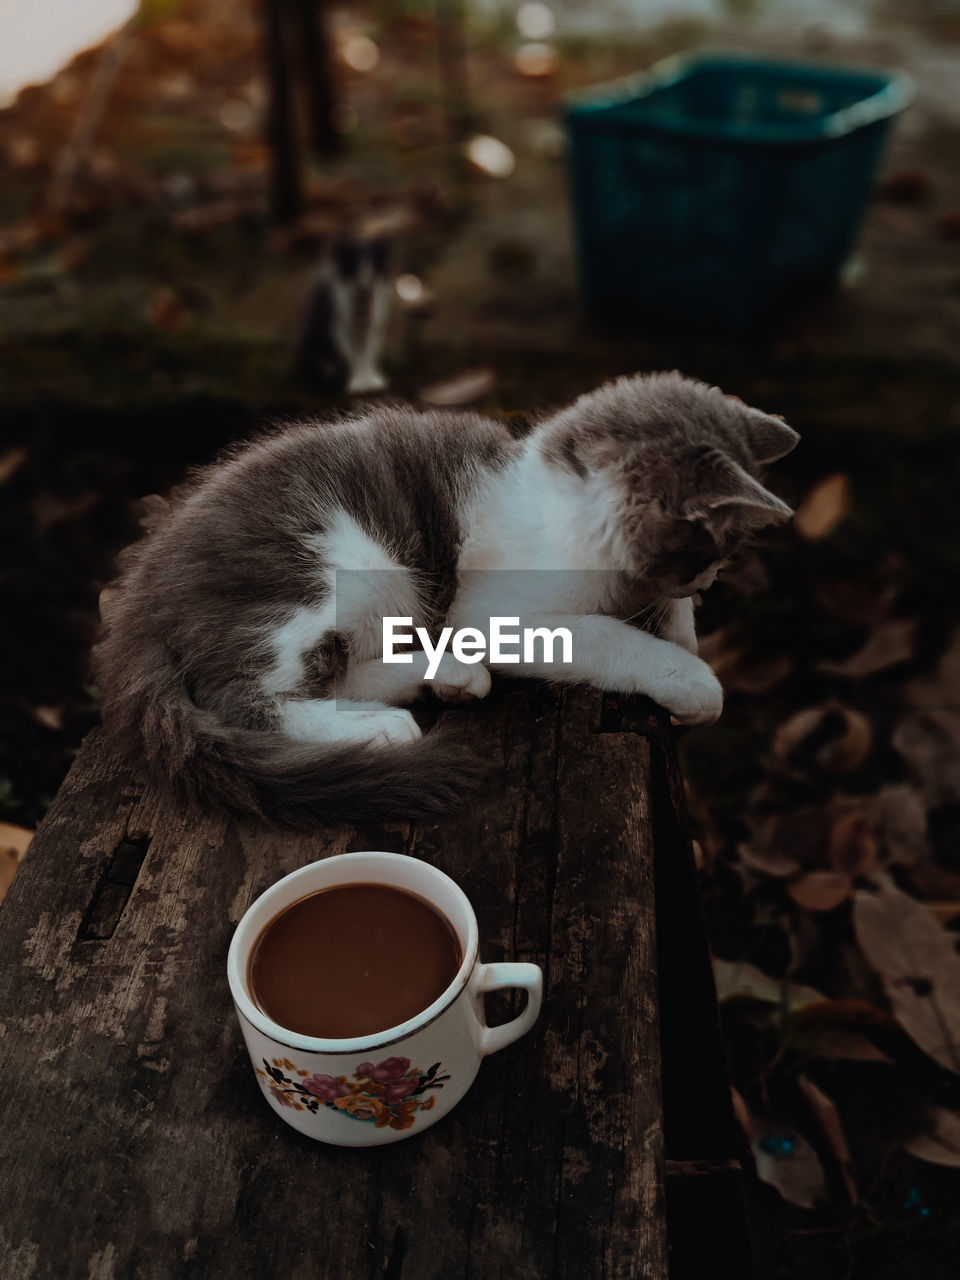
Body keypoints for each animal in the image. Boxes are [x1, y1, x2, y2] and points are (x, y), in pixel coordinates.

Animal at [96, 373, 798, 824]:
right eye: (713, 549)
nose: (709, 582)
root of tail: (139, 600)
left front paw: (681, 629)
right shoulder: (489, 610)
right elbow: (604, 635)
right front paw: (691, 677)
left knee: (342, 668)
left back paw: (445, 677)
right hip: (341, 569)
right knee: (247, 697)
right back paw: (381, 728)